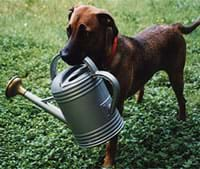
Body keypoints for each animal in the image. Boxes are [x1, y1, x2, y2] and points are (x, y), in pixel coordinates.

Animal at [60, 4, 199, 168]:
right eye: (68, 30)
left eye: (85, 33)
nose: (63, 55)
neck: (104, 59)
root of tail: (174, 26)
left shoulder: (116, 105)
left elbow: (112, 141)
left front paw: (108, 161)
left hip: (176, 76)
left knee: (182, 100)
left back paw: (182, 121)